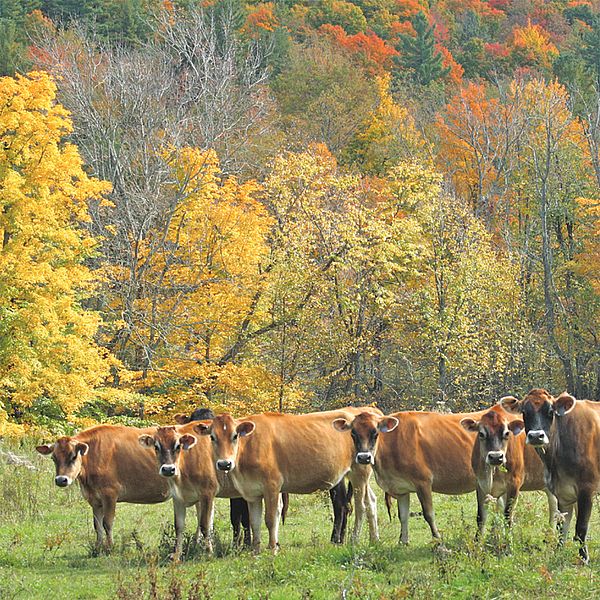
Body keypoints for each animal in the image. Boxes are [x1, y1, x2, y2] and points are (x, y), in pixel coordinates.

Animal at [36, 424, 175, 556]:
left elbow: (107, 523)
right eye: (53, 458)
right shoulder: (94, 499)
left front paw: (109, 549)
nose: (61, 480)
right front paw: (97, 549)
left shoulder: (110, 494)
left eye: (74, 456)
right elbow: (97, 525)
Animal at [192, 408, 382, 552]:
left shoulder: (272, 486)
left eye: (235, 436)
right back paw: (374, 539)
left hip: (360, 470)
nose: (224, 463)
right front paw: (255, 551)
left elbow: (269, 519)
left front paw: (272, 549)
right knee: (371, 501)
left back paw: (354, 540)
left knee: (359, 506)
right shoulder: (251, 493)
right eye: (212, 437)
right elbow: (254, 522)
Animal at [460, 404, 556, 536]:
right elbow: (481, 518)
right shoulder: (480, 484)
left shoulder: (514, 484)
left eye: (506, 433)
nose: (496, 457)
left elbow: (507, 517)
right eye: (481, 434)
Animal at [500, 390, 600, 564]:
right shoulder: (562, 492)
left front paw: (583, 558)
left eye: (550, 411)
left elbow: (581, 527)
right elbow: (562, 526)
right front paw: (558, 553)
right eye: (524, 412)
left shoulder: (588, 488)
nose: (535, 436)